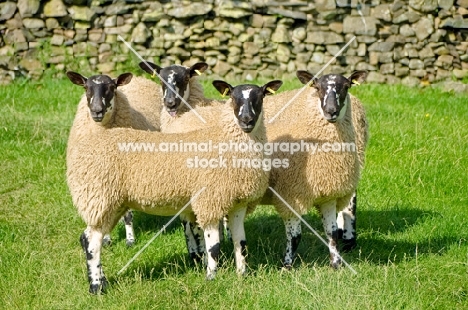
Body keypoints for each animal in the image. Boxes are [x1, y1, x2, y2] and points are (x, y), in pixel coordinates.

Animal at [66, 77, 282, 294]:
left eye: (260, 97)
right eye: (233, 98)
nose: (246, 120)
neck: (227, 141)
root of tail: (83, 149)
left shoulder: (238, 203)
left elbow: (241, 242)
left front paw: (242, 276)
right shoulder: (209, 201)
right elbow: (213, 247)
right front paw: (211, 278)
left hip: (112, 203)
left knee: (92, 237)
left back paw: (102, 281)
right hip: (99, 196)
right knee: (91, 241)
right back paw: (96, 288)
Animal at [262, 70, 368, 268]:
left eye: (346, 86)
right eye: (318, 87)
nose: (331, 111)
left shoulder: (329, 193)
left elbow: (331, 233)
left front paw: (336, 264)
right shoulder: (290, 195)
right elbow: (295, 236)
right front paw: (286, 265)